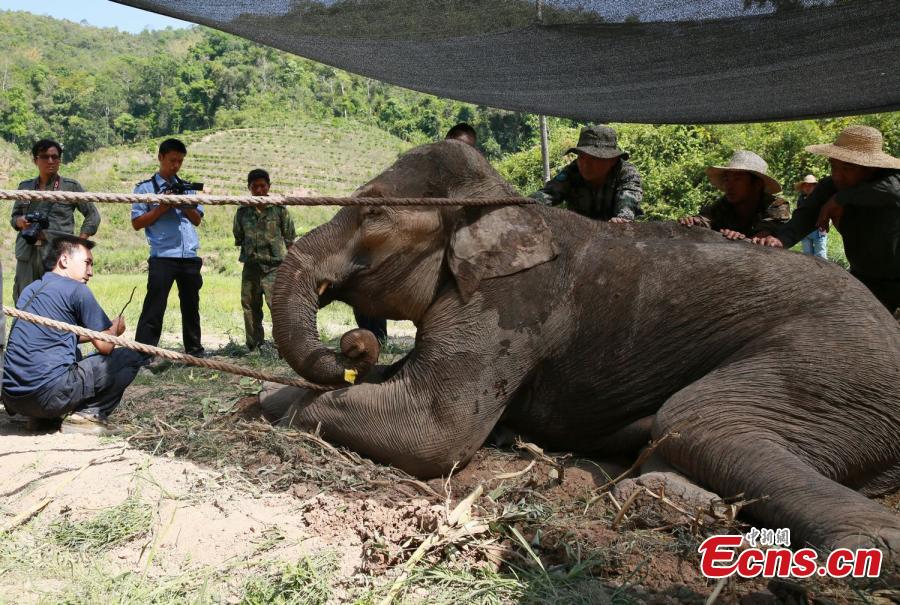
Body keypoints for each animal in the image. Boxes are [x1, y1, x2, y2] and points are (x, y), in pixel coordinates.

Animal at [269, 140, 900, 559]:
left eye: (373, 211)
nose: (355, 345)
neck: (502, 203)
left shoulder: (513, 301)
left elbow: (431, 432)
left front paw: (281, 409)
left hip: (833, 368)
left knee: (698, 418)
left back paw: (868, 546)